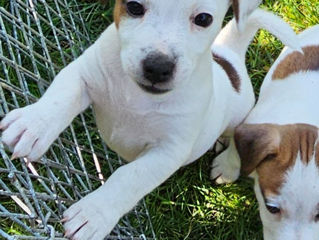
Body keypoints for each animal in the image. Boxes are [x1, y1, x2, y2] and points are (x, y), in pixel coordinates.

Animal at [0, 0, 302, 239]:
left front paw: (94, 213)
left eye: (203, 19)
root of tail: (229, 57)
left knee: (237, 135)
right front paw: (33, 124)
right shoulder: (84, 74)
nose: (158, 67)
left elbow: (129, 178)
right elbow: (60, 96)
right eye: (134, 6)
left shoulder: (168, 151)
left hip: (240, 115)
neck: (137, 96)